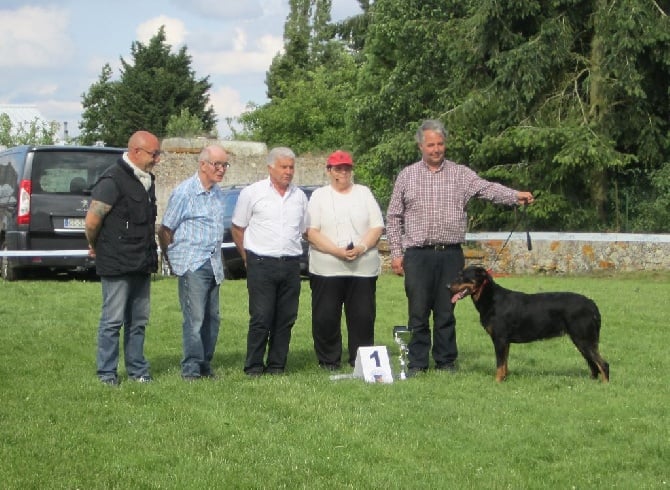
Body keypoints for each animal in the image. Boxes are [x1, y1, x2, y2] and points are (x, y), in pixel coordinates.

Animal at [452, 266, 608, 380]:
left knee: (603, 364)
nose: (448, 286)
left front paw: (497, 381)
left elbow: (500, 364)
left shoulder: (500, 339)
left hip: (584, 339)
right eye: (458, 275)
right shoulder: (505, 341)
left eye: (463, 276)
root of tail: (591, 303)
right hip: (582, 341)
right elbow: (505, 364)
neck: (490, 298)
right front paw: (505, 379)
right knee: (594, 365)